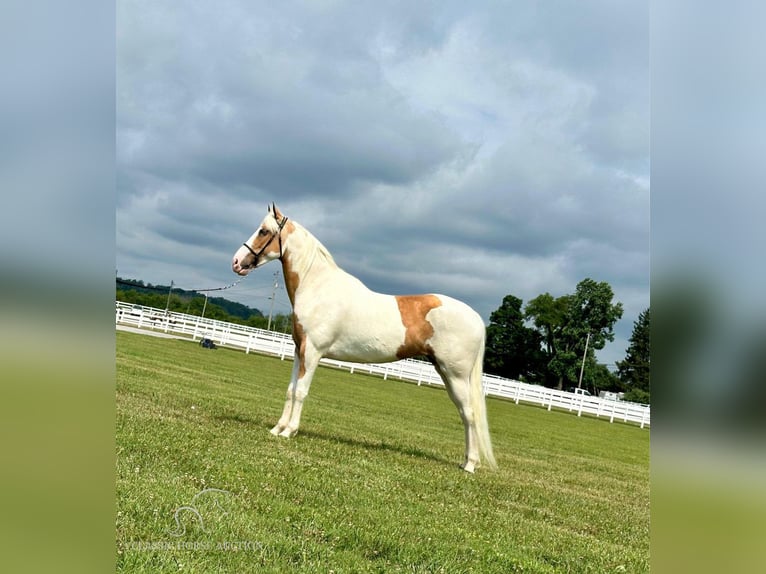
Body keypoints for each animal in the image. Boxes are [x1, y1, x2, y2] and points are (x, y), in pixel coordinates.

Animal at [232, 205, 498, 474]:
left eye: (264, 231)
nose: (236, 262)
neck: (317, 287)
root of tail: (476, 317)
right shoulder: (300, 351)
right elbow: (290, 390)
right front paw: (278, 428)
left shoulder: (313, 352)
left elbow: (301, 392)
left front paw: (289, 431)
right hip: (446, 373)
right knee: (464, 414)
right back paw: (466, 461)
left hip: (456, 375)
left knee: (470, 414)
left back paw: (470, 465)